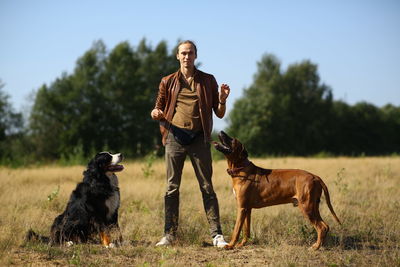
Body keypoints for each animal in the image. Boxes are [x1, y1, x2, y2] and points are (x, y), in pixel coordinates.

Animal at [212, 132, 340, 251]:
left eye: (232, 140)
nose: (221, 131)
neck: (240, 168)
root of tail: (315, 176)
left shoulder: (241, 207)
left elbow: (236, 230)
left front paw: (230, 245)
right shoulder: (247, 208)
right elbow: (245, 230)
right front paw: (241, 244)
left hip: (306, 207)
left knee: (321, 227)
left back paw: (316, 247)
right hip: (313, 206)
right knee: (325, 226)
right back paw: (320, 245)